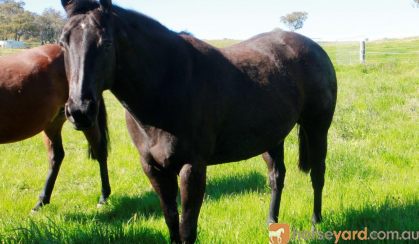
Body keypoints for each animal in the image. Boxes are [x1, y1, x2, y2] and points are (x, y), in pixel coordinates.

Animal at [0, 44, 110, 212]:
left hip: (84, 119)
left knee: (100, 150)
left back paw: (103, 197)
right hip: (53, 123)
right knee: (56, 157)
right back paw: (42, 201)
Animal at [60, 0, 338, 243]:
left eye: (106, 43)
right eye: (63, 43)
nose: (80, 110)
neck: (166, 85)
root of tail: (315, 48)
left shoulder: (192, 168)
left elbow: (187, 229)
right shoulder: (153, 168)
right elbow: (171, 222)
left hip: (317, 127)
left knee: (318, 173)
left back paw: (316, 222)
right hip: (272, 136)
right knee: (276, 177)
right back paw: (272, 222)